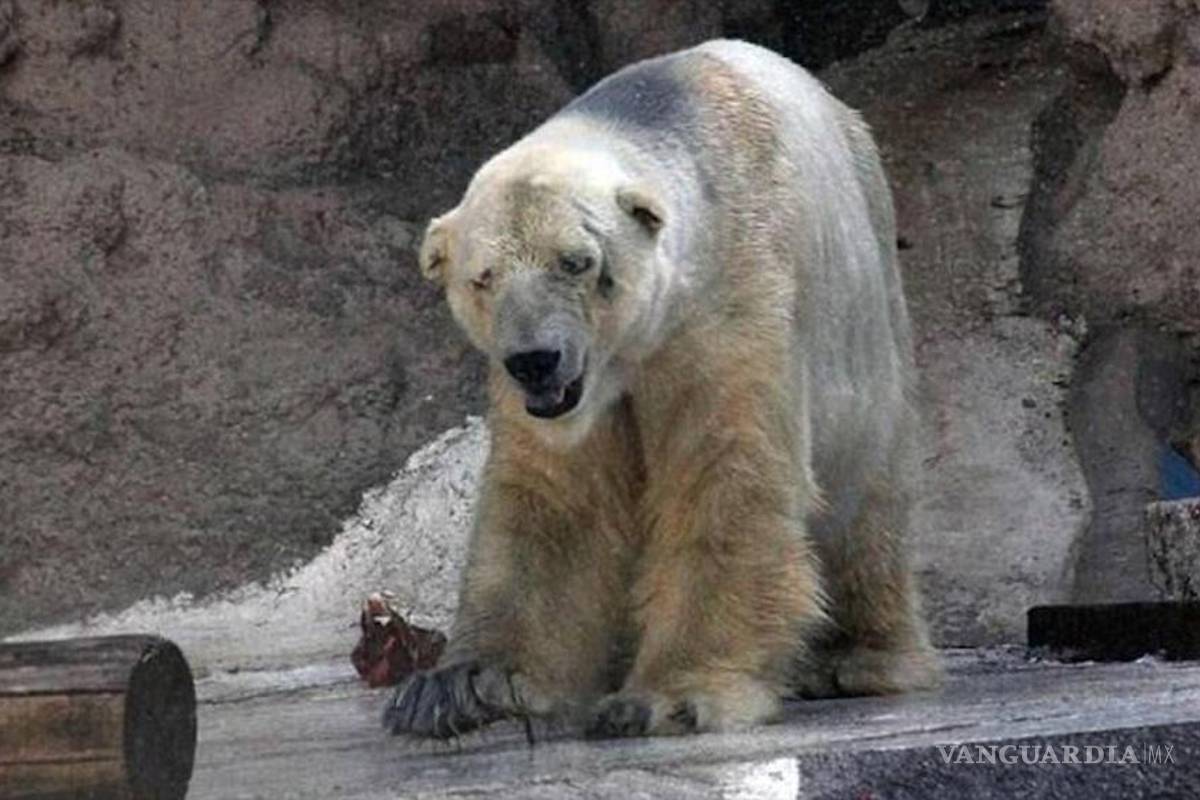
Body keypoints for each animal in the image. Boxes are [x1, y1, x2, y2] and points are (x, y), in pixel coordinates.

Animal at [384, 39, 940, 740]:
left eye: (577, 261)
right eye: (482, 277)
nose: (535, 360)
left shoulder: (728, 309)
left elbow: (725, 475)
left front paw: (665, 696)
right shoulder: (559, 399)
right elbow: (557, 501)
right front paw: (459, 686)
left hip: (867, 321)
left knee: (865, 498)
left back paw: (857, 658)